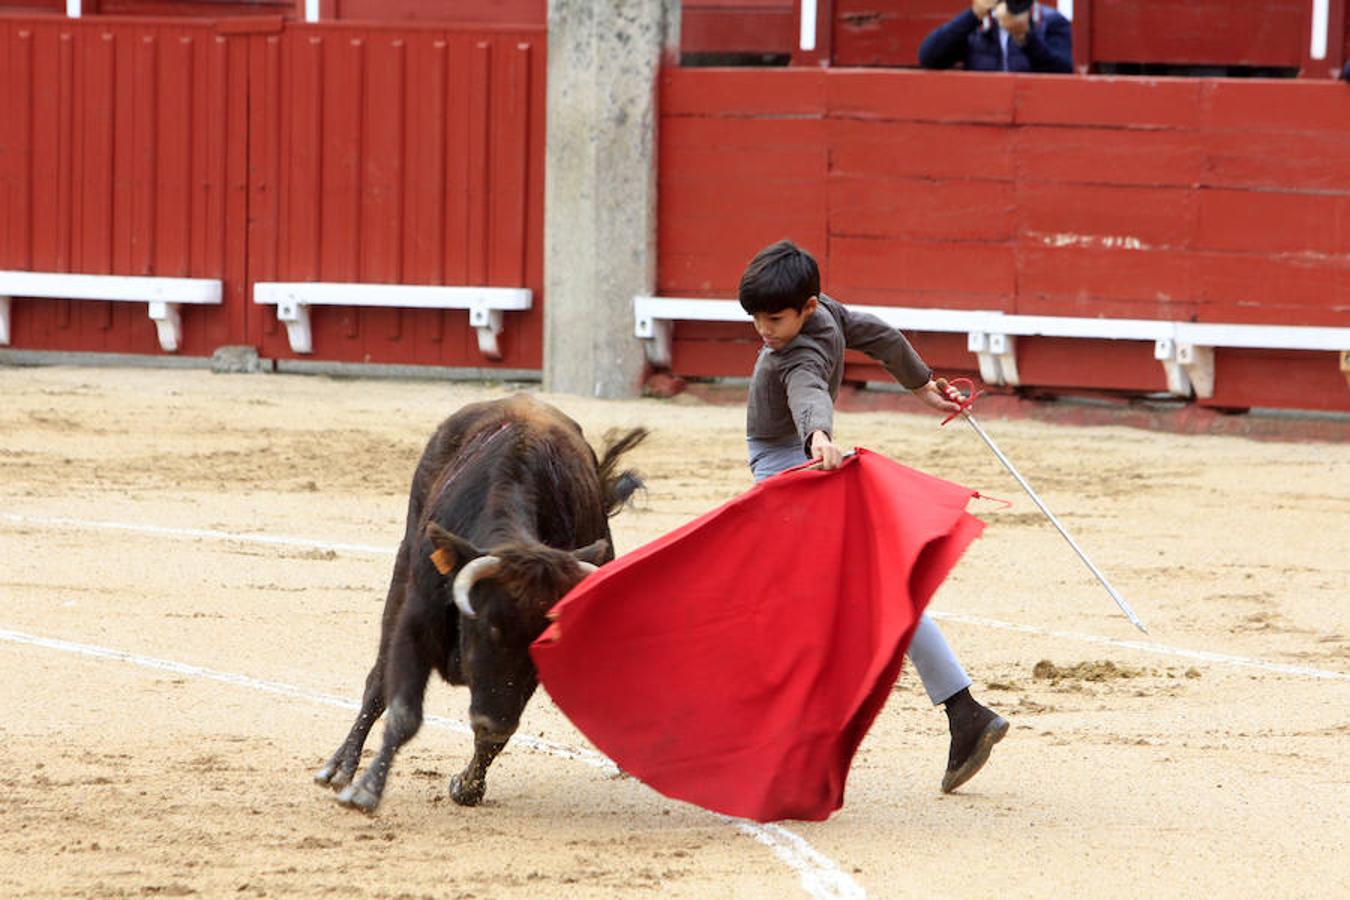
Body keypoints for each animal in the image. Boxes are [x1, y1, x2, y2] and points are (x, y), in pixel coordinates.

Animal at [315, 391, 642, 809]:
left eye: (538, 645)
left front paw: (467, 786)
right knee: (377, 679)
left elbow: (494, 737)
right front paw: (365, 790)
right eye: (489, 626)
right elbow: (403, 709)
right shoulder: (417, 621)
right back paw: (339, 769)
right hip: (403, 564)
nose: (493, 720)